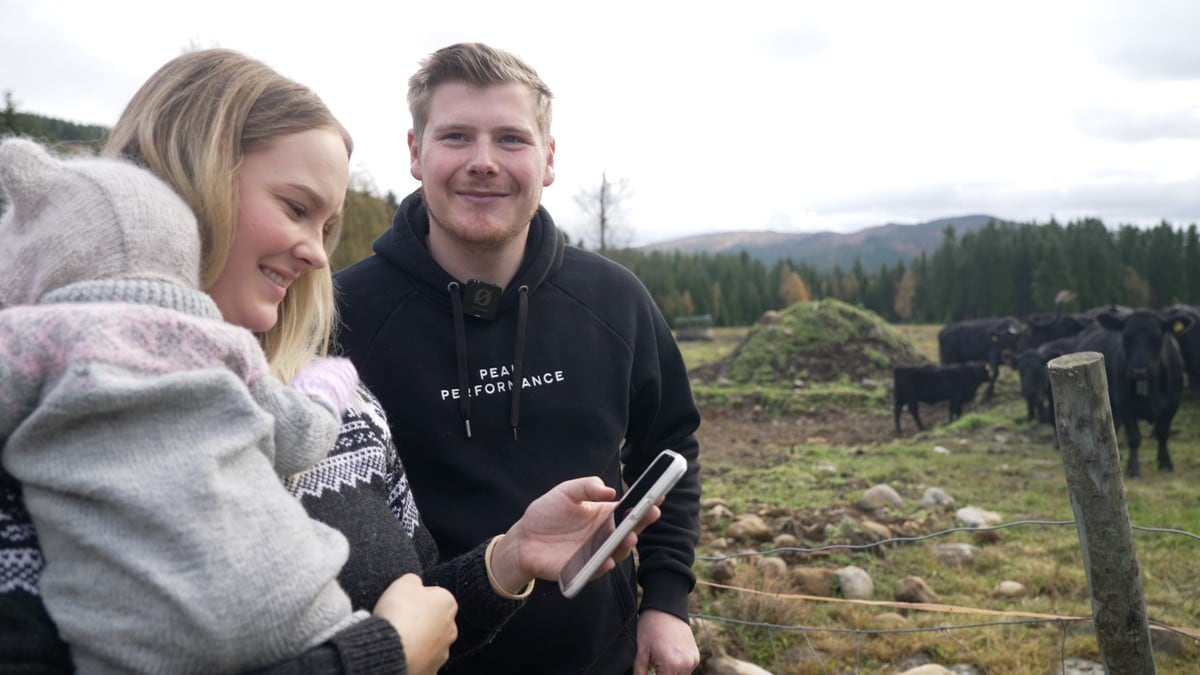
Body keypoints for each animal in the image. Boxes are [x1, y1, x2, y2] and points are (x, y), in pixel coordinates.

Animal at [1070, 307, 1190, 475]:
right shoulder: (1124, 404)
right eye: (1126, 338)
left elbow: (1162, 432)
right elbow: (1134, 437)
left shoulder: (1173, 403)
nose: (1140, 371)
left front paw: (1165, 462)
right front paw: (1133, 467)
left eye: (1157, 338)